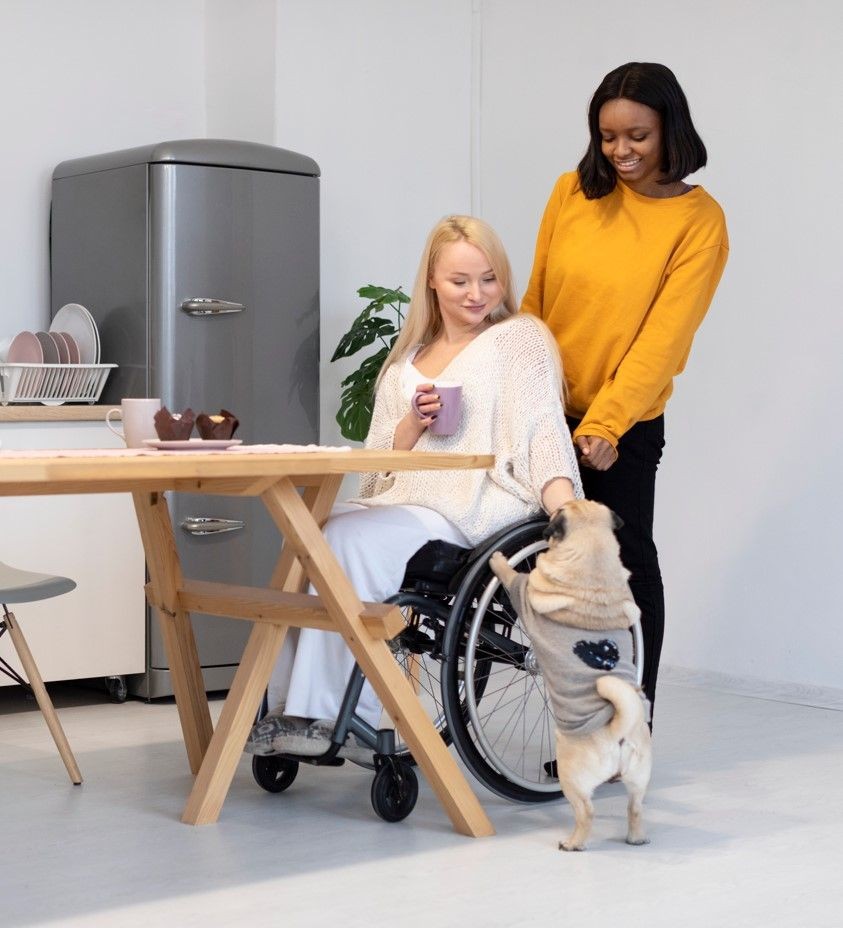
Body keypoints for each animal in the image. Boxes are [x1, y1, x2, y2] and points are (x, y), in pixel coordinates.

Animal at [488, 500, 652, 848]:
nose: (553, 508)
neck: (595, 566)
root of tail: (617, 732)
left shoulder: (523, 592)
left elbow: (512, 575)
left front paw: (497, 560)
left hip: (570, 776)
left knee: (586, 811)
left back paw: (573, 843)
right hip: (639, 777)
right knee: (635, 807)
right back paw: (635, 838)